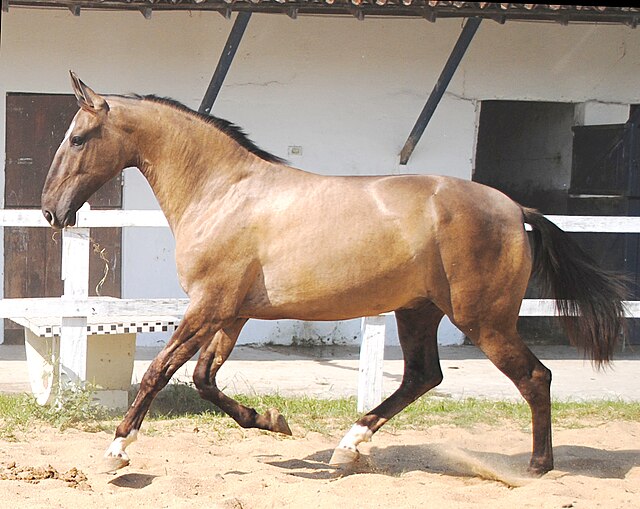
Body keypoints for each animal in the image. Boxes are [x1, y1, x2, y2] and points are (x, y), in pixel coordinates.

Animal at [40, 72, 624, 476]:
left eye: (77, 138)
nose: (50, 211)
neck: (224, 191)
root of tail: (514, 208)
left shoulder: (209, 305)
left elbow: (159, 371)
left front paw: (117, 450)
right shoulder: (231, 313)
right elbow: (205, 379)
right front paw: (272, 421)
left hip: (484, 319)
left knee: (534, 378)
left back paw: (536, 468)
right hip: (418, 311)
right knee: (423, 376)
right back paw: (348, 447)